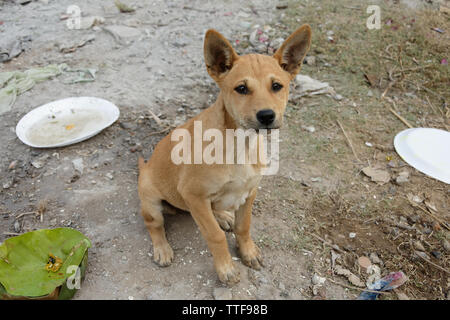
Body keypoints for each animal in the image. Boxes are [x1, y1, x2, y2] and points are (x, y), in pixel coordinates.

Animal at [139, 25, 312, 284]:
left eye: (277, 86)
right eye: (241, 89)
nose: (266, 116)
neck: (240, 144)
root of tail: (144, 168)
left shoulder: (250, 192)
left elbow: (244, 226)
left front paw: (247, 252)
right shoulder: (193, 194)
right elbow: (215, 235)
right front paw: (226, 268)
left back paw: (222, 216)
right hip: (150, 199)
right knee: (154, 225)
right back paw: (162, 249)